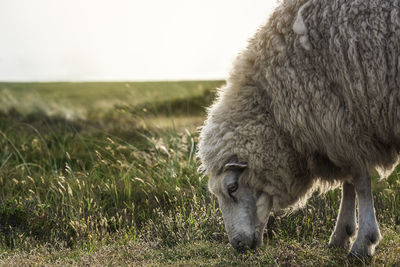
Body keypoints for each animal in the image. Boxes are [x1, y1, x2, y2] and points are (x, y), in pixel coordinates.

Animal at [197, 0, 400, 258]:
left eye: (232, 187)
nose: (238, 245)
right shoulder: (337, 124)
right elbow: (349, 182)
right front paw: (342, 234)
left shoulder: (341, 118)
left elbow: (360, 181)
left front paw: (363, 242)